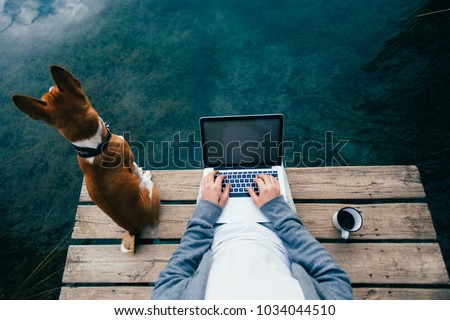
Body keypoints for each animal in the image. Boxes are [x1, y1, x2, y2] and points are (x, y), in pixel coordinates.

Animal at [11, 65, 160, 255]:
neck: (93, 146)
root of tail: (133, 228)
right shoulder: (129, 158)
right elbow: (135, 169)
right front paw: (143, 172)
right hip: (150, 191)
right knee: (145, 182)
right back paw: (147, 177)